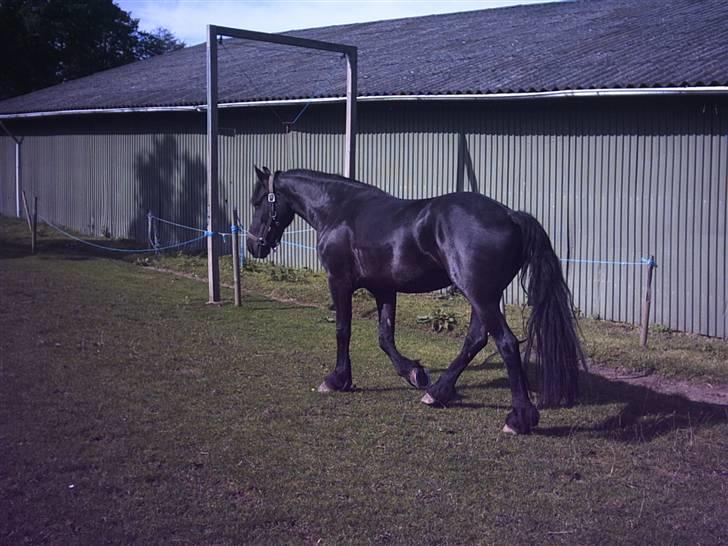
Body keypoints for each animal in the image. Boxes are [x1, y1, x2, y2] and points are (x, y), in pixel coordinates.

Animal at [247, 166, 584, 434]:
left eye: (259, 202)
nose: (253, 245)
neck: (340, 210)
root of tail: (511, 216)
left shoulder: (339, 283)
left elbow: (343, 331)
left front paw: (337, 380)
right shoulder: (384, 289)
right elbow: (385, 337)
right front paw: (414, 373)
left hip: (480, 295)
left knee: (507, 343)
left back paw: (518, 419)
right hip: (484, 297)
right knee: (476, 339)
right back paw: (437, 392)